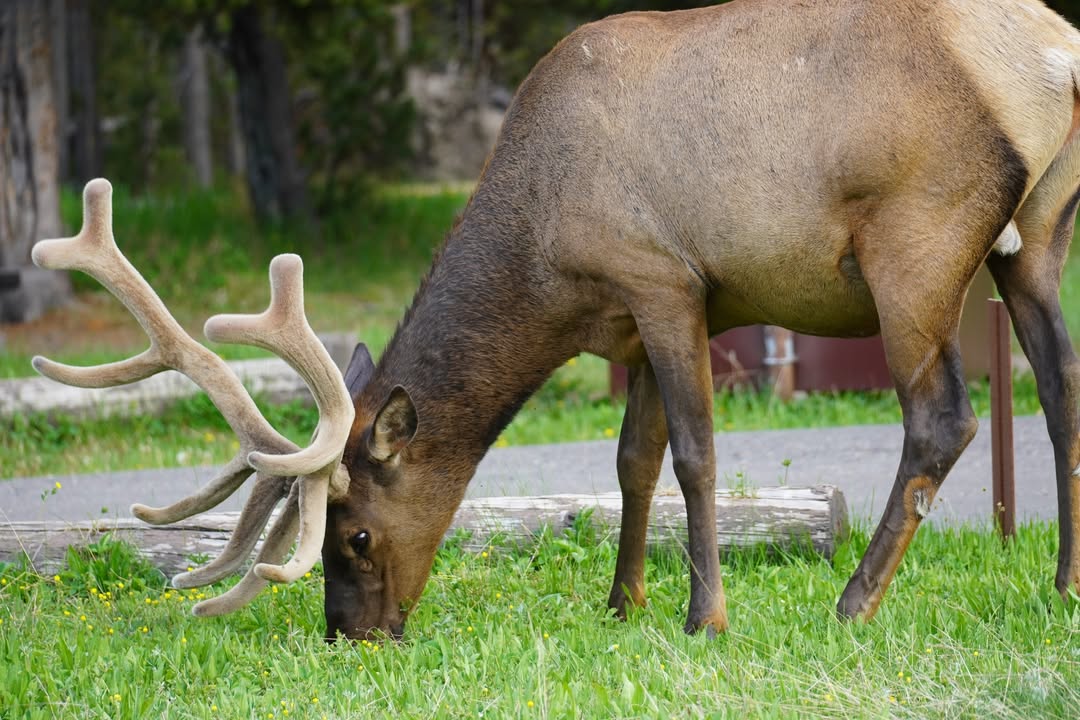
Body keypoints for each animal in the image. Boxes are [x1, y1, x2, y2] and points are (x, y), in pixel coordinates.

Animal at [32, 0, 1080, 642]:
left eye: (355, 535)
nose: (347, 633)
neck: (543, 263)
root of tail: (1054, 55)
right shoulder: (634, 317)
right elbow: (632, 461)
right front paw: (623, 605)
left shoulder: (665, 278)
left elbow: (695, 456)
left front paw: (705, 618)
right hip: (1033, 235)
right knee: (1061, 390)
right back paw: (1064, 584)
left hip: (916, 243)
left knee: (944, 418)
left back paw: (852, 603)